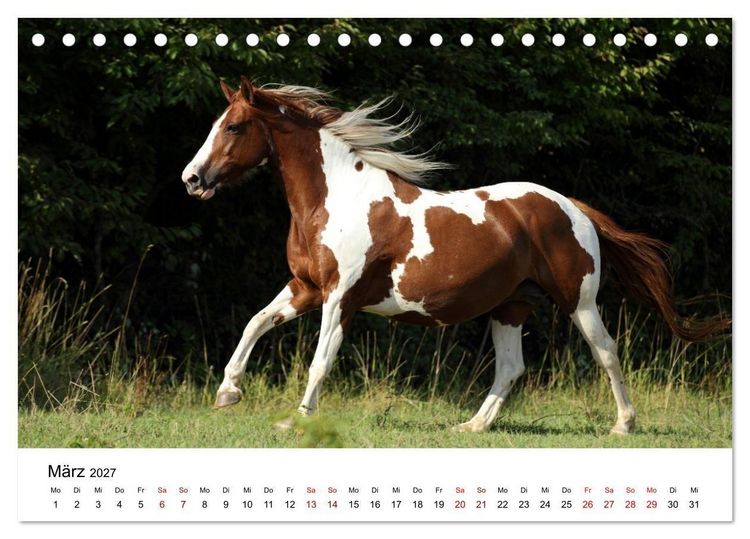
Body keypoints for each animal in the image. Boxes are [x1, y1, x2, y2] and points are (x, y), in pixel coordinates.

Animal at [181, 76, 728, 434]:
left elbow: (320, 360)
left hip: (579, 301)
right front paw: (227, 393)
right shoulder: (305, 289)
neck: (334, 199)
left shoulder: (340, 297)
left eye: (234, 127)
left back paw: (624, 425)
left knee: (606, 352)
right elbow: (255, 323)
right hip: (510, 306)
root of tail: (573, 207)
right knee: (511, 369)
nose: (191, 178)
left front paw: (297, 420)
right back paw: (471, 426)